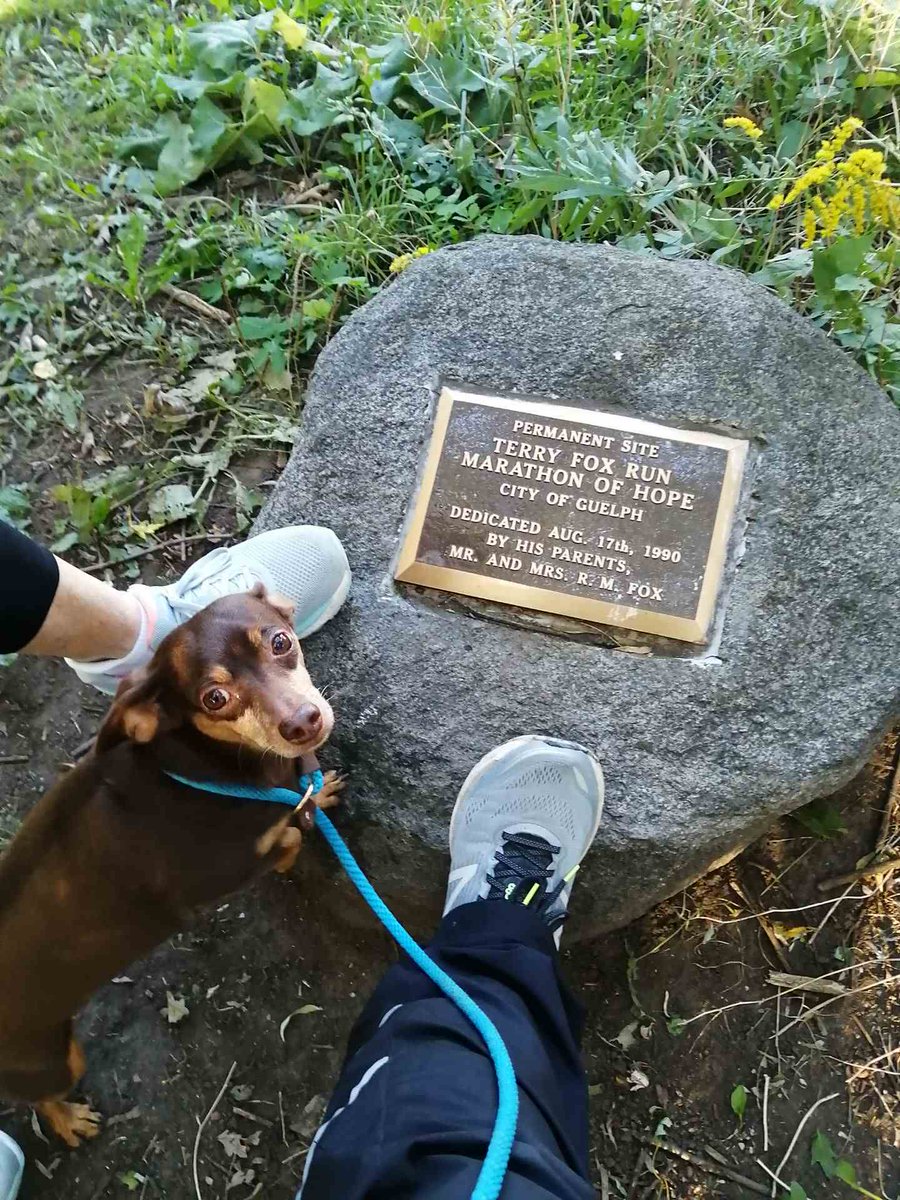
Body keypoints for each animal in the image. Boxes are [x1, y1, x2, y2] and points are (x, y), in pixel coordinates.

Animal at [0, 585, 340, 1147]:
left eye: (280, 641)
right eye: (214, 699)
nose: (302, 723)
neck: (198, 764)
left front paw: (319, 790)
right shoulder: (221, 876)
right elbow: (288, 835)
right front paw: (297, 828)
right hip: (52, 1059)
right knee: (41, 1097)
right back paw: (69, 1121)